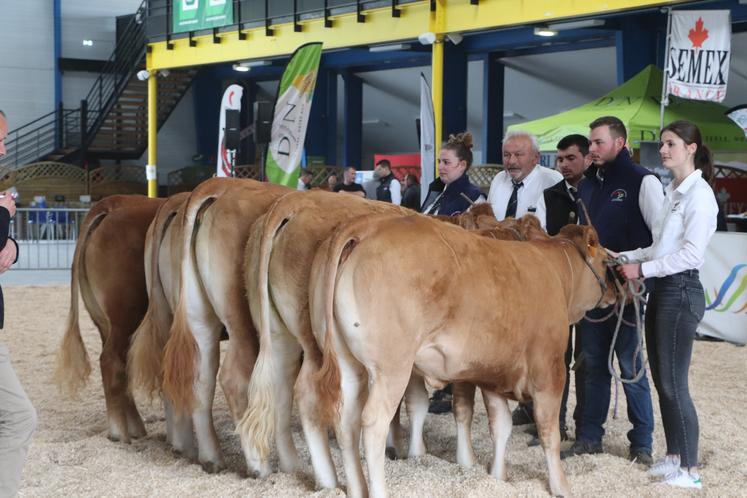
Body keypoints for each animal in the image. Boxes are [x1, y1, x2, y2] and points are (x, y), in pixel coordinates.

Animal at [55, 195, 165, 444]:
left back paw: (134, 427)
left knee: (122, 365)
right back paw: (119, 432)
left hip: (104, 321)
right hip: (127, 314)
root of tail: (110, 205)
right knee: (111, 361)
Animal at [159, 178, 290, 474]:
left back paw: (208, 457)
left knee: (197, 378)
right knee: (234, 377)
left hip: (197, 318)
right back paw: (259, 466)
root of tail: (217, 186)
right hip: (239, 321)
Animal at [312, 215, 620, 498]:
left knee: (346, 422)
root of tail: (367, 226)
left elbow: (501, 426)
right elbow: (549, 433)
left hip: (349, 365)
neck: (555, 272)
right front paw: (561, 486)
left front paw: (498, 476)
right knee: (373, 423)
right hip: (391, 369)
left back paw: (356, 488)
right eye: (606, 263)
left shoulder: (494, 374)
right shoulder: (550, 373)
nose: (617, 293)